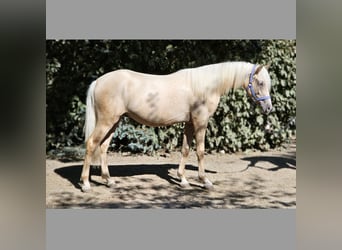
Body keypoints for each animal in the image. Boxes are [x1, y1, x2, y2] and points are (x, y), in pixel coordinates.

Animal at [80, 61, 272, 192]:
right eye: (261, 83)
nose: (268, 108)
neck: (205, 86)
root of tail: (98, 81)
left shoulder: (189, 123)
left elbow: (185, 150)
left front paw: (183, 180)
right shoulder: (200, 122)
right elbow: (200, 151)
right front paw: (205, 181)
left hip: (114, 122)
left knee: (103, 147)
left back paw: (109, 180)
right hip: (106, 121)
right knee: (91, 144)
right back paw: (86, 184)